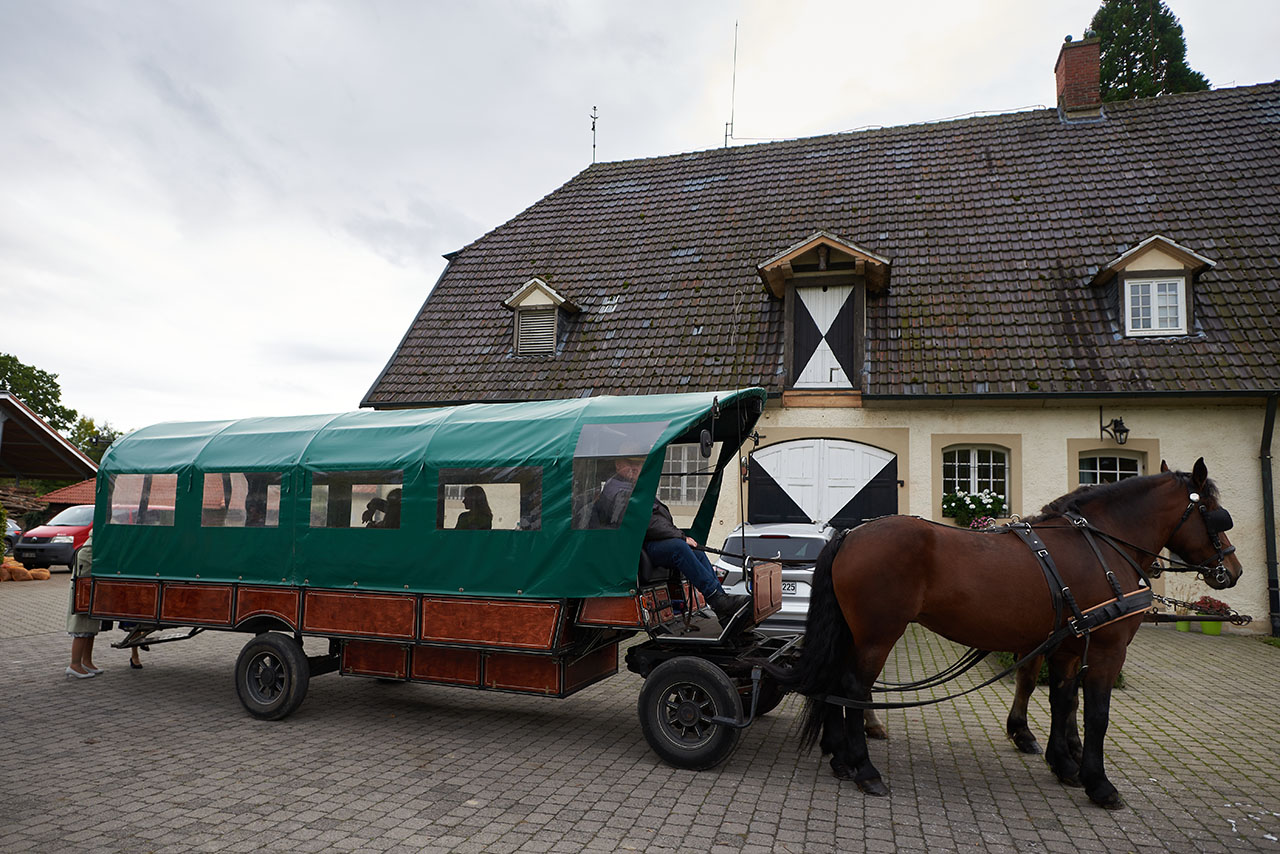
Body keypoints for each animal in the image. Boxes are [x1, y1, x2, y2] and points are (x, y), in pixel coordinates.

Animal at [783, 460, 1233, 809]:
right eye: (1214, 513)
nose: (1233, 569)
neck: (1099, 547)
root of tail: (850, 535)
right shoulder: (1107, 648)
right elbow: (1097, 714)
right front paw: (1098, 783)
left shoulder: (1068, 644)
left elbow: (1063, 701)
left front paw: (1063, 762)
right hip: (878, 634)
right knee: (854, 688)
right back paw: (865, 768)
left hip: (855, 632)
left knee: (836, 684)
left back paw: (841, 758)